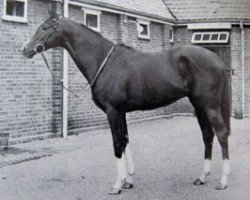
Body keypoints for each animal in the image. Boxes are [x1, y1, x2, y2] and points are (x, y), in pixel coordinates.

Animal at [21, 11, 230, 195]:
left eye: (45, 27)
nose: (25, 49)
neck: (104, 62)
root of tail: (217, 59)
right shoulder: (121, 112)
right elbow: (125, 140)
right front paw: (128, 180)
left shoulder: (112, 111)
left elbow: (117, 143)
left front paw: (117, 185)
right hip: (198, 105)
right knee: (207, 135)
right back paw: (202, 177)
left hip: (210, 106)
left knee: (221, 134)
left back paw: (223, 181)